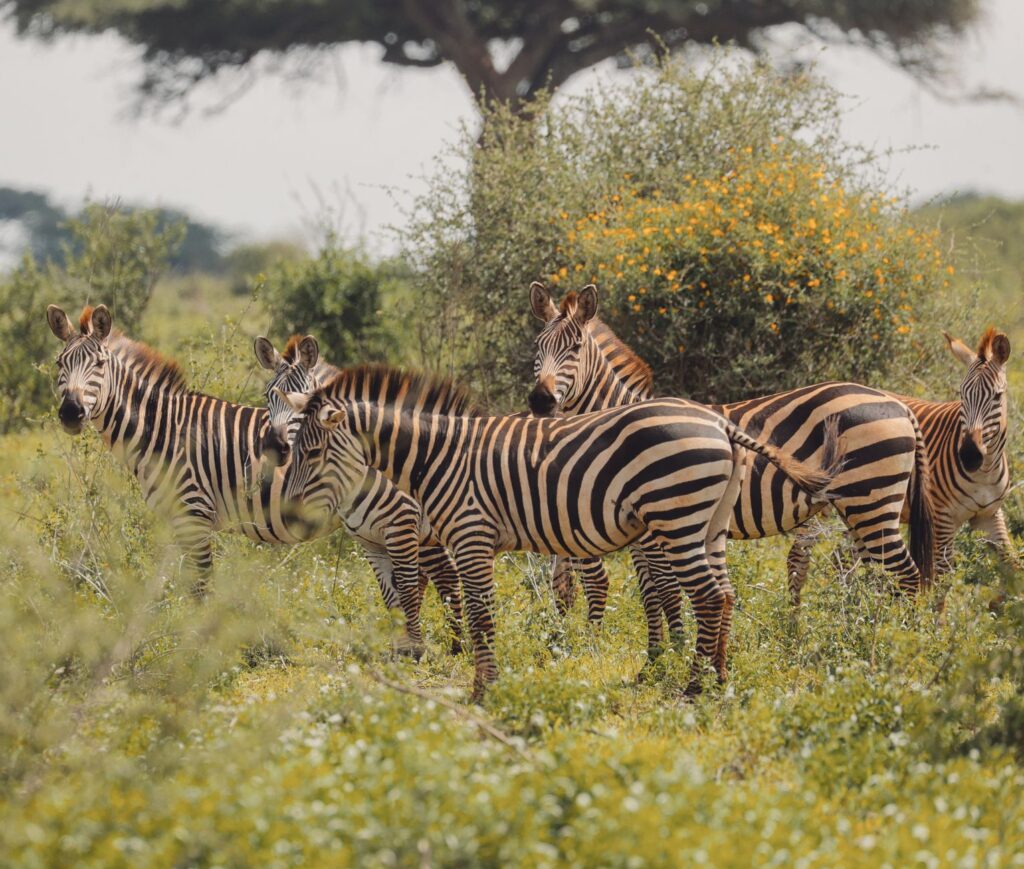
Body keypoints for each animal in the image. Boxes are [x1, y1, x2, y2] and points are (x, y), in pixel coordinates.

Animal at [45, 303, 435, 655]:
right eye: (60, 364)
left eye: (98, 365)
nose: (71, 413)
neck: (164, 431)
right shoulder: (180, 522)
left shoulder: (195, 515)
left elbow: (200, 587)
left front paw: (197, 650)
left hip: (395, 516)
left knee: (413, 581)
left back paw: (414, 652)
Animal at [253, 334, 465, 654]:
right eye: (269, 396)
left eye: (304, 398)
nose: (276, 448)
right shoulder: (369, 539)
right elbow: (390, 595)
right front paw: (399, 650)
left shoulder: (402, 526)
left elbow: (405, 588)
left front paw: (413, 650)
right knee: (444, 573)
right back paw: (456, 644)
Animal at [280, 364, 839, 699]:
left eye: (312, 451)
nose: (287, 513)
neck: (442, 457)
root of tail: (719, 423)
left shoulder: (471, 536)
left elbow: (479, 616)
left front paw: (482, 690)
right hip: (710, 524)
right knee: (725, 594)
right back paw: (720, 678)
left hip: (677, 518)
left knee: (706, 596)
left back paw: (695, 687)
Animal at [527, 282, 935, 622]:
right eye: (537, 348)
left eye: (575, 349)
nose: (540, 400)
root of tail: (898, 405)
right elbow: (642, 594)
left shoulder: (655, 531)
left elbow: (660, 593)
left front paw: (664, 658)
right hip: (862, 507)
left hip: (872, 502)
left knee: (907, 576)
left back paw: (903, 641)